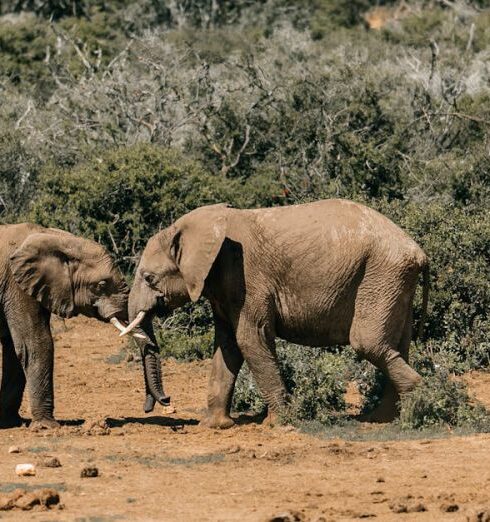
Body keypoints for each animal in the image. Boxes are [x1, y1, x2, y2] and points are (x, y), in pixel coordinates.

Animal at [0, 221, 131, 428]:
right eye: (101, 285)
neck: (56, 238)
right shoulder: (16, 286)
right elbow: (35, 344)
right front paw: (47, 426)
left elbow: (15, 350)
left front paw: (11, 422)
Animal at [121, 197, 428, 424]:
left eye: (149, 278)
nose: (164, 402)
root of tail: (420, 252)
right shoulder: (222, 287)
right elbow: (227, 345)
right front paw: (214, 426)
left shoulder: (246, 278)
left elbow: (250, 339)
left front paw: (279, 423)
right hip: (393, 282)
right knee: (397, 346)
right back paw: (383, 418)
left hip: (380, 275)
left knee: (369, 343)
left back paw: (414, 407)